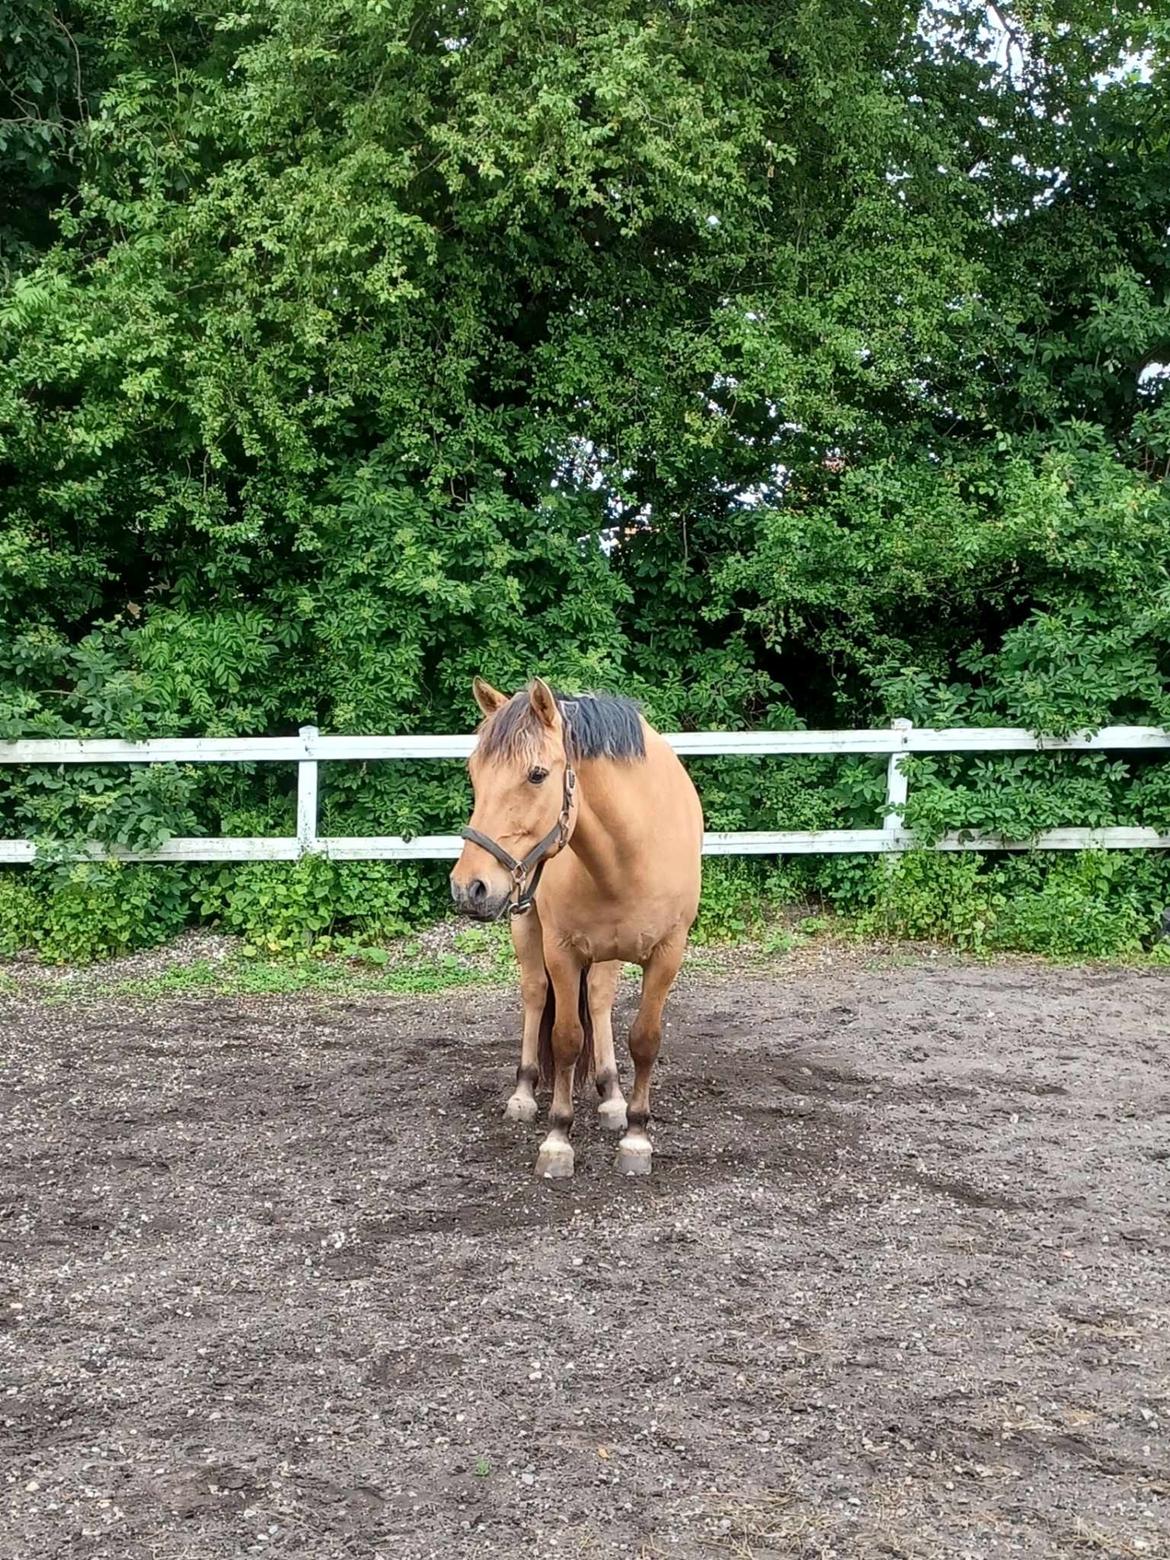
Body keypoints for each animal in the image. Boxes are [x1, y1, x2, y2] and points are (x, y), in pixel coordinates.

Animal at [452, 677, 705, 1173]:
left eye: (536, 775)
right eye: (474, 773)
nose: (469, 887)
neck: (628, 854)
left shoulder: (668, 953)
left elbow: (644, 1039)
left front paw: (636, 1137)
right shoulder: (562, 952)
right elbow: (565, 1039)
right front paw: (557, 1139)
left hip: (609, 952)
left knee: (601, 999)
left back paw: (611, 1096)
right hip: (527, 927)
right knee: (534, 994)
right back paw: (524, 1093)